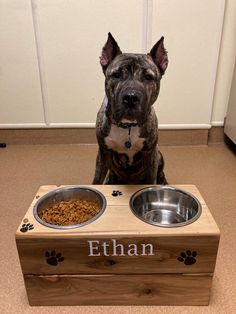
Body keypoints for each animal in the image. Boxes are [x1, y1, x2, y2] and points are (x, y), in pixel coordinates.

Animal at [92, 32, 168, 184]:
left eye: (148, 77)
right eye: (116, 75)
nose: (131, 97)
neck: (127, 126)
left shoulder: (150, 153)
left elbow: (152, 180)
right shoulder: (103, 153)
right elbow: (97, 180)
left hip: (159, 156)